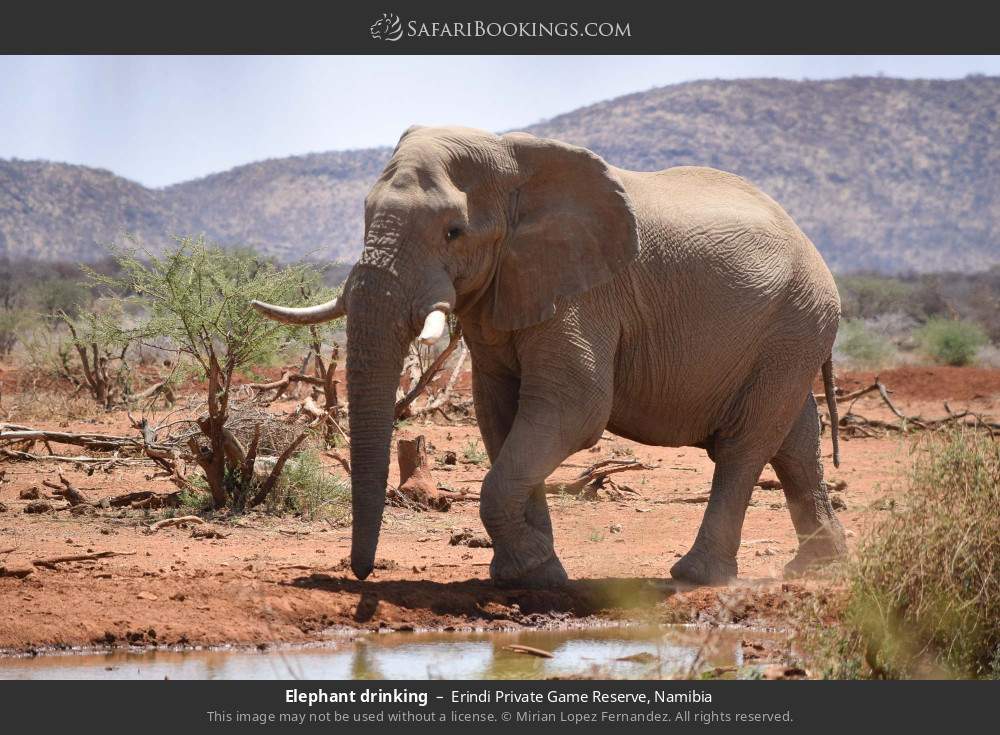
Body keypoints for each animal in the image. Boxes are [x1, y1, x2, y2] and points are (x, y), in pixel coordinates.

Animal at [254, 123, 848, 588]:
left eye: (454, 231)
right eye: (365, 216)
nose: (360, 573)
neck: (510, 161)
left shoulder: (584, 294)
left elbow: (574, 409)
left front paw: (534, 567)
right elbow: (501, 415)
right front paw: (531, 573)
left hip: (795, 321)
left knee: (746, 443)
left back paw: (696, 576)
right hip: (791, 333)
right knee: (795, 439)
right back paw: (820, 568)